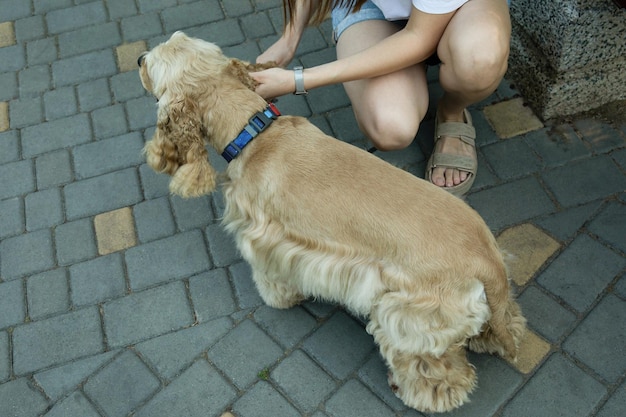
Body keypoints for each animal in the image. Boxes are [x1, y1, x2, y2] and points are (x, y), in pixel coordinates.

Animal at [139, 32, 524, 412]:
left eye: (153, 64)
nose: (139, 57)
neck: (254, 131)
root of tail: (486, 260)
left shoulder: (266, 237)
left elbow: (271, 275)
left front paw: (278, 298)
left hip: (407, 317)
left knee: (440, 374)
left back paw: (419, 394)